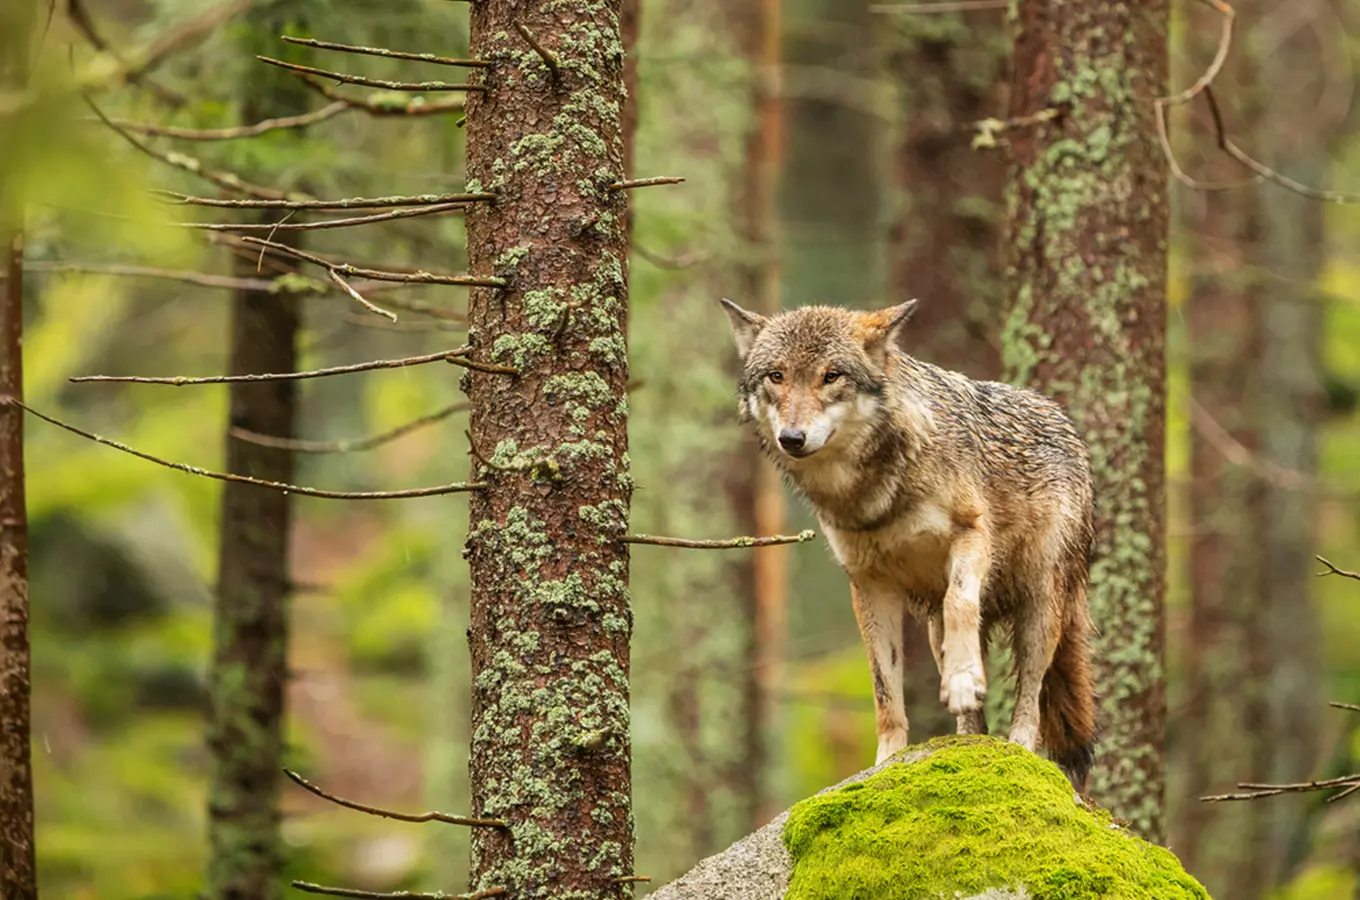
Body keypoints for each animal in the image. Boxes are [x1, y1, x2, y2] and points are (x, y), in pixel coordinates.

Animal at [723, 297, 1093, 788]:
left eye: (831, 375)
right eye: (776, 376)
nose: (792, 438)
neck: (874, 494)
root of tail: (1061, 417)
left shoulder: (971, 536)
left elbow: (960, 602)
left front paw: (963, 680)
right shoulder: (868, 584)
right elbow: (884, 687)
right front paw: (886, 761)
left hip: (1040, 609)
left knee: (1030, 698)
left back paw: (1018, 750)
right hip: (936, 629)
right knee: (974, 713)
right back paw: (966, 743)